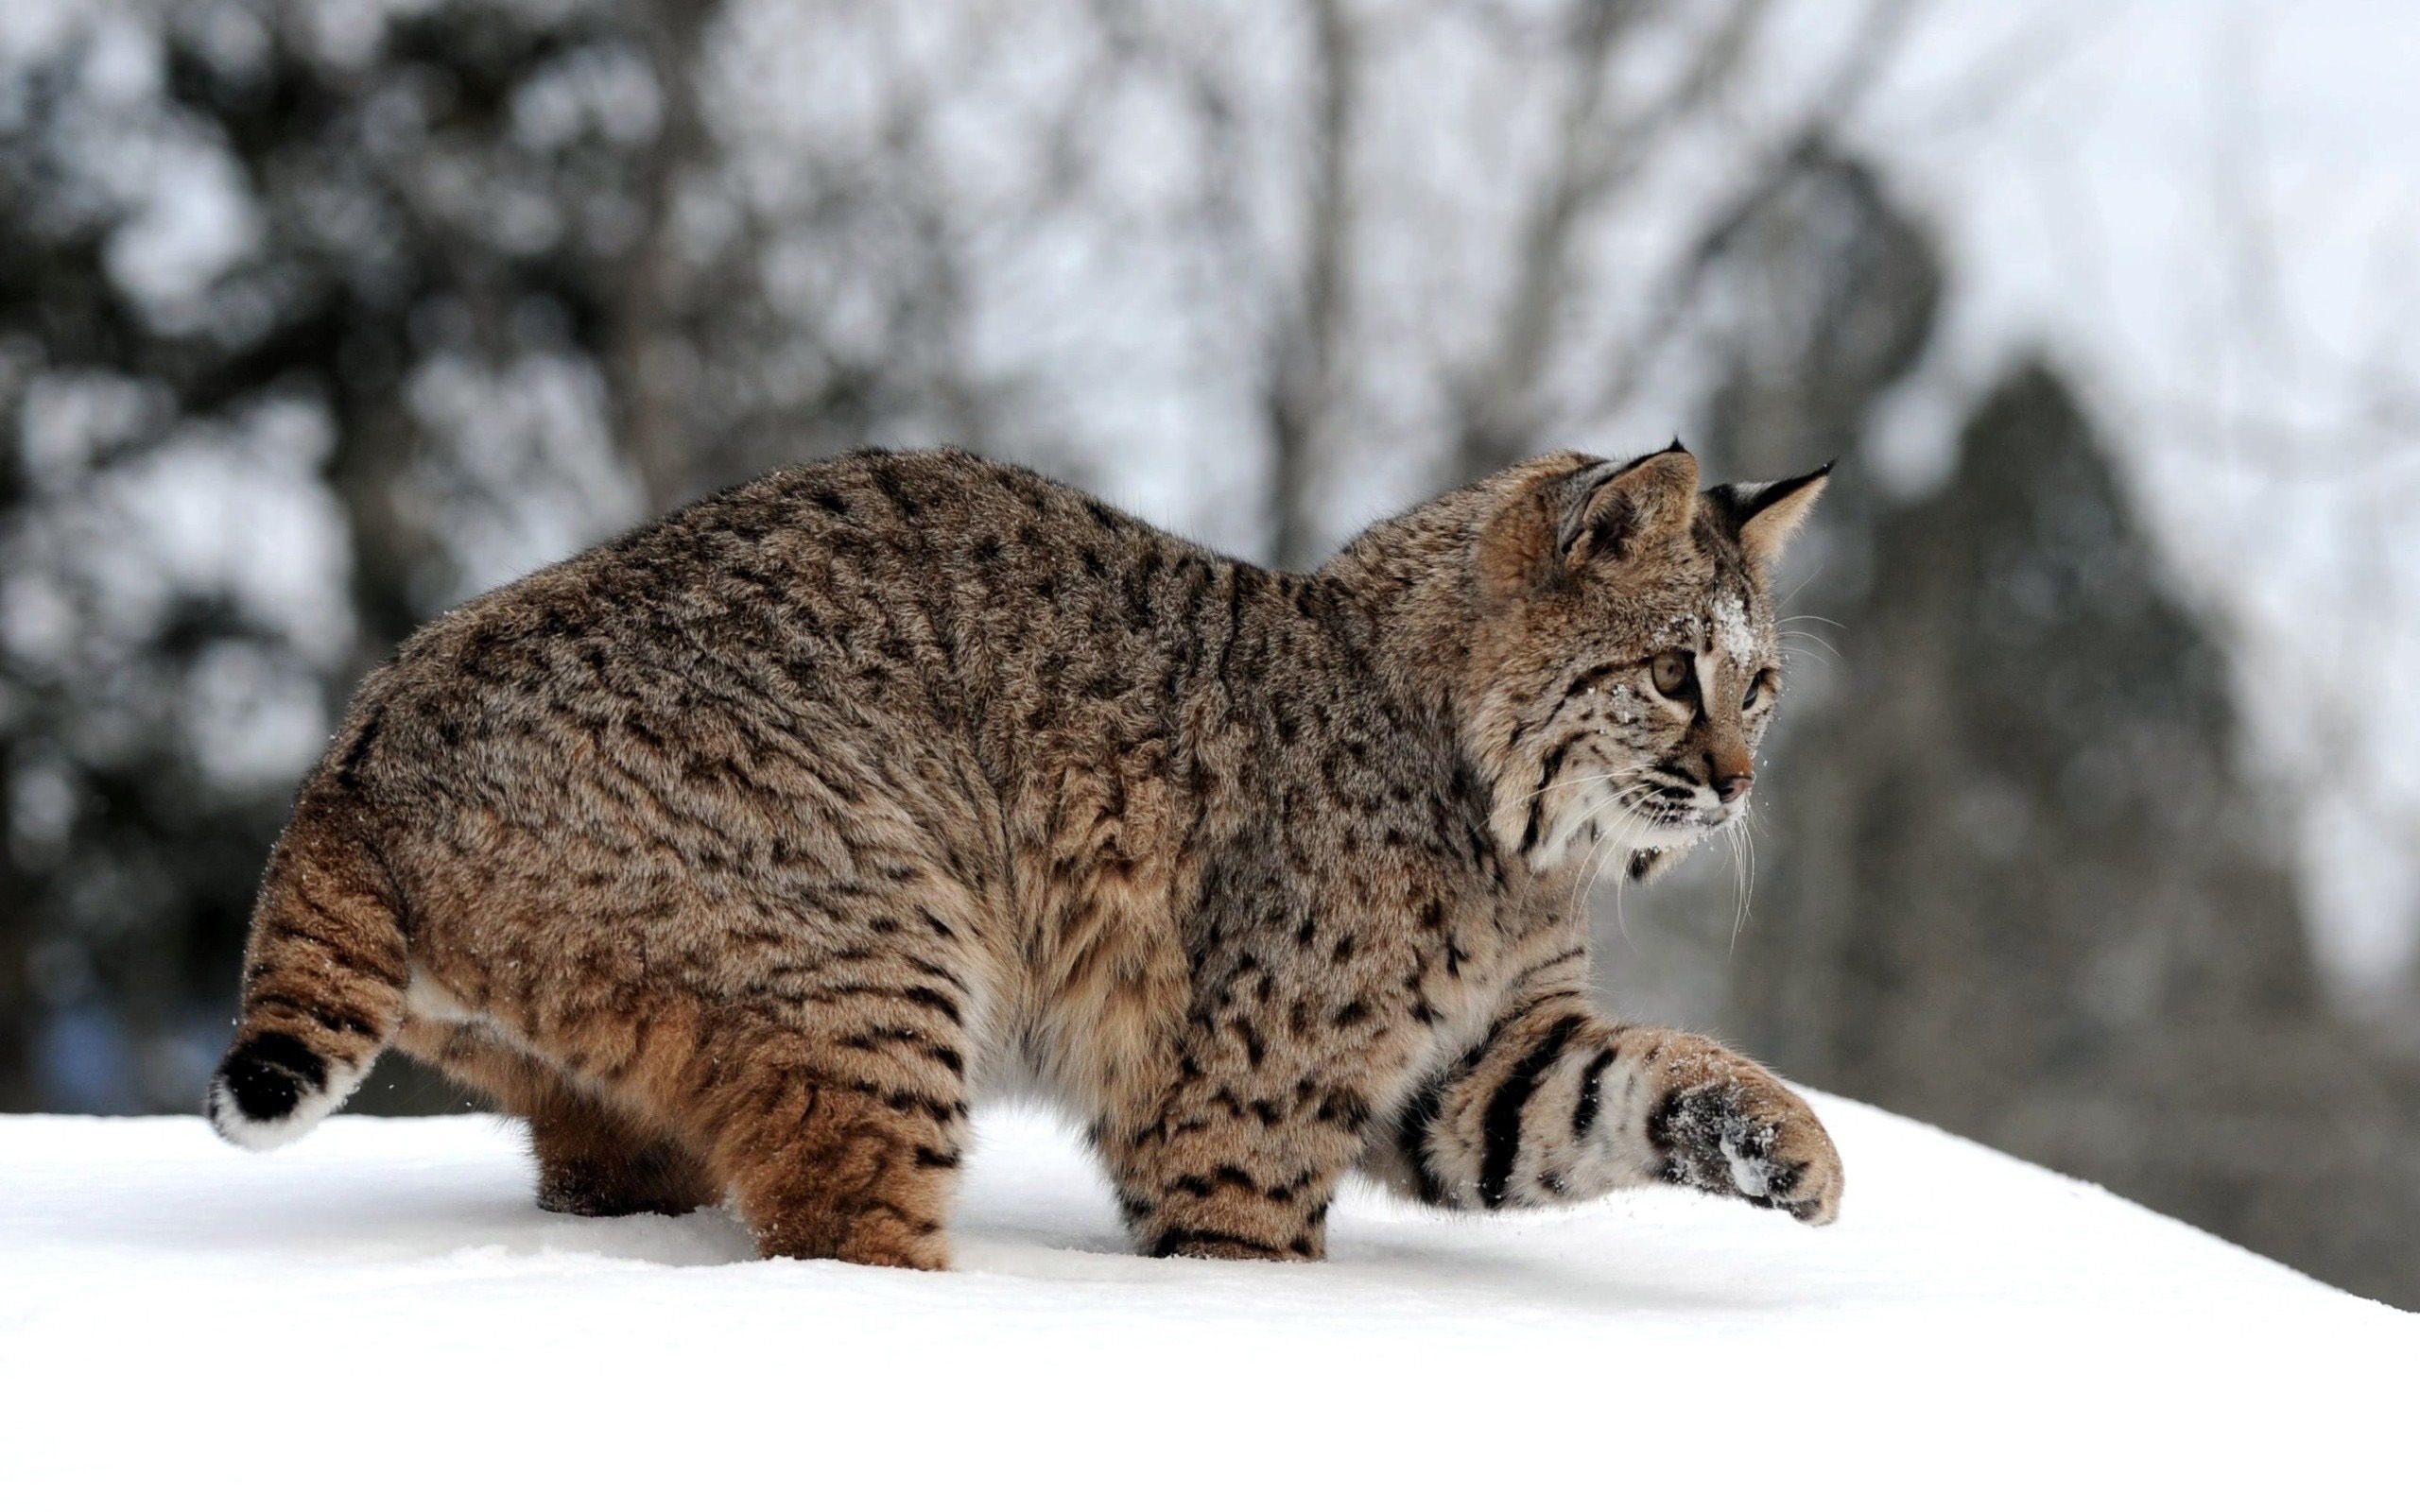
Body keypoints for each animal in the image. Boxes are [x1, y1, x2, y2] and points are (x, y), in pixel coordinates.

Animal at [213, 442, 1829, 1267]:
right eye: (1674, 676)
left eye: (1759, 688)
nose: (1740, 787)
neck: (1510, 822)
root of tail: (369, 729)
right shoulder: (1228, 1110)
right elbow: (1251, 1251)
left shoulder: (1473, 1058)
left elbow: (1628, 1077)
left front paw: (1790, 1148)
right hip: (884, 971)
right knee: (841, 1241)